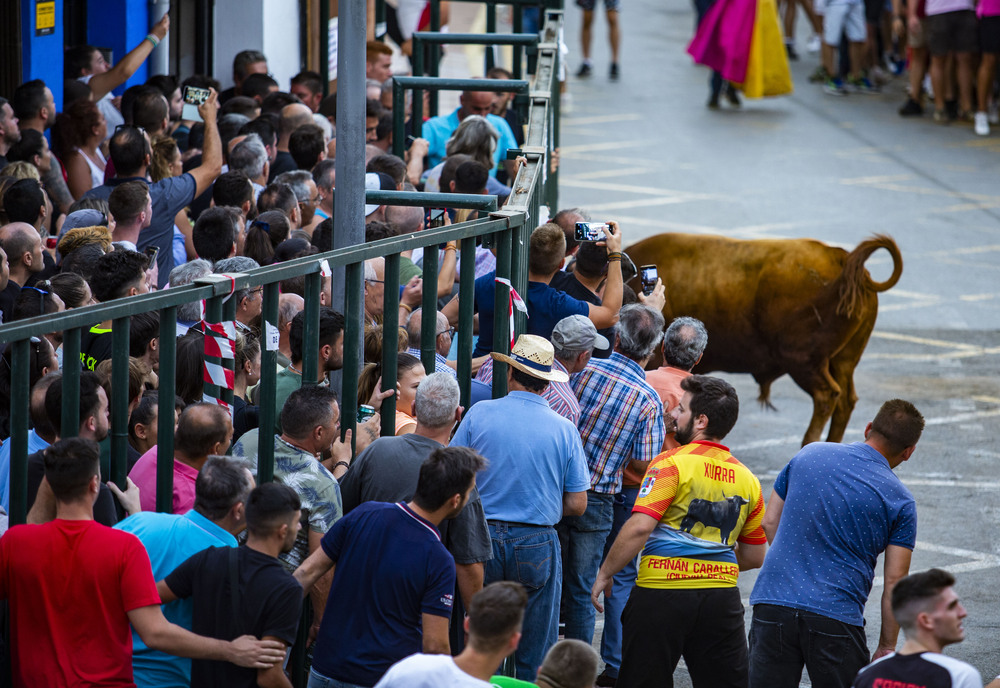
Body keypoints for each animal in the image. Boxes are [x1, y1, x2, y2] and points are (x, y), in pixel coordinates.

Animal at [624, 234, 900, 444]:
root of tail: (843, 260)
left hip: (804, 362)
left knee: (827, 396)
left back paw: (807, 444)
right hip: (843, 361)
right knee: (845, 400)